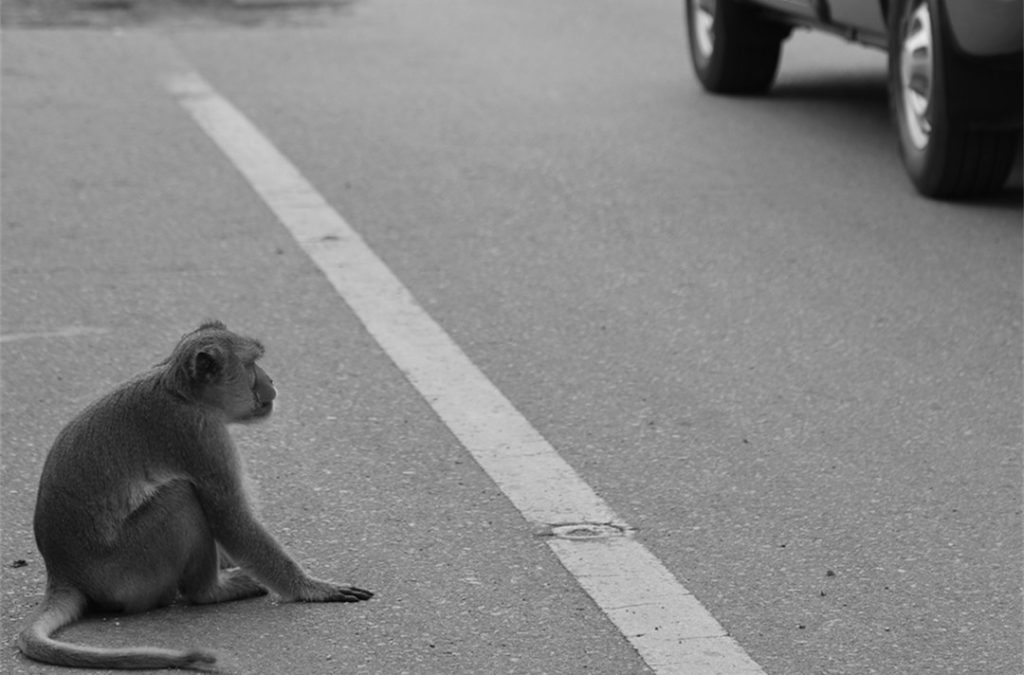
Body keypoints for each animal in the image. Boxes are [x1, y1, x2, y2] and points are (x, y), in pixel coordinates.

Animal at [18, 320, 372, 671]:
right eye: (251, 365)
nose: (270, 380)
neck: (184, 393)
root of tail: (63, 572)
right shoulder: (200, 435)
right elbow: (232, 519)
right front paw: (311, 588)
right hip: (127, 571)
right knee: (182, 496)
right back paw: (210, 591)